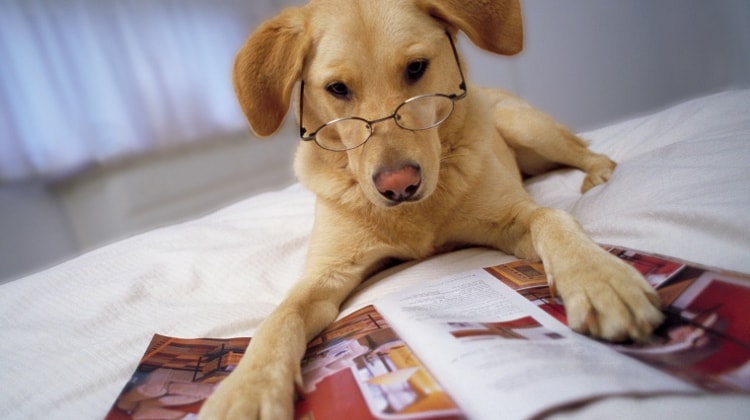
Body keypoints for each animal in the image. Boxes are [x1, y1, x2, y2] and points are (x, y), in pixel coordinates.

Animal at [200, 1, 664, 418]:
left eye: (416, 68)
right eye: (337, 89)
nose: (398, 185)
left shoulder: (514, 219)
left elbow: (551, 217)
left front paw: (599, 278)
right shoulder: (326, 274)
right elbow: (279, 318)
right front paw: (247, 388)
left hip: (525, 126)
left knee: (587, 151)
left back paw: (598, 174)